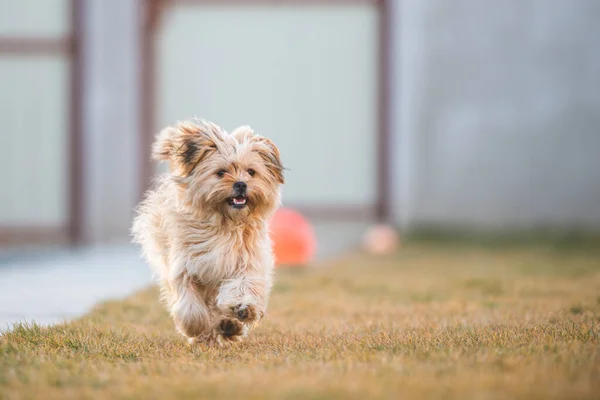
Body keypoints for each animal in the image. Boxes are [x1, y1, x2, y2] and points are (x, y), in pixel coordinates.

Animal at [132, 118, 282, 344]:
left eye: (251, 172)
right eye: (221, 173)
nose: (241, 184)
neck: (224, 224)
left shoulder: (246, 259)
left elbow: (243, 285)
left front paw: (243, 308)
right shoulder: (186, 266)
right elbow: (190, 305)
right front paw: (197, 327)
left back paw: (229, 325)